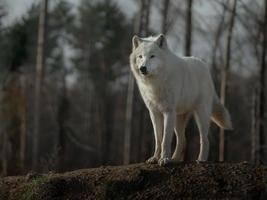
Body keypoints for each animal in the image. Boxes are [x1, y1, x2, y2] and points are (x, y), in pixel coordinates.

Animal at [130, 34, 232, 166]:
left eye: (152, 56)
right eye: (140, 56)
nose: (143, 68)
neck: (155, 83)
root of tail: (204, 65)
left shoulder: (168, 112)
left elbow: (165, 139)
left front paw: (164, 159)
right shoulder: (154, 113)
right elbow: (158, 139)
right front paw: (155, 158)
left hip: (200, 116)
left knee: (205, 139)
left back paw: (201, 159)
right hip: (178, 119)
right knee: (183, 140)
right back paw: (175, 159)